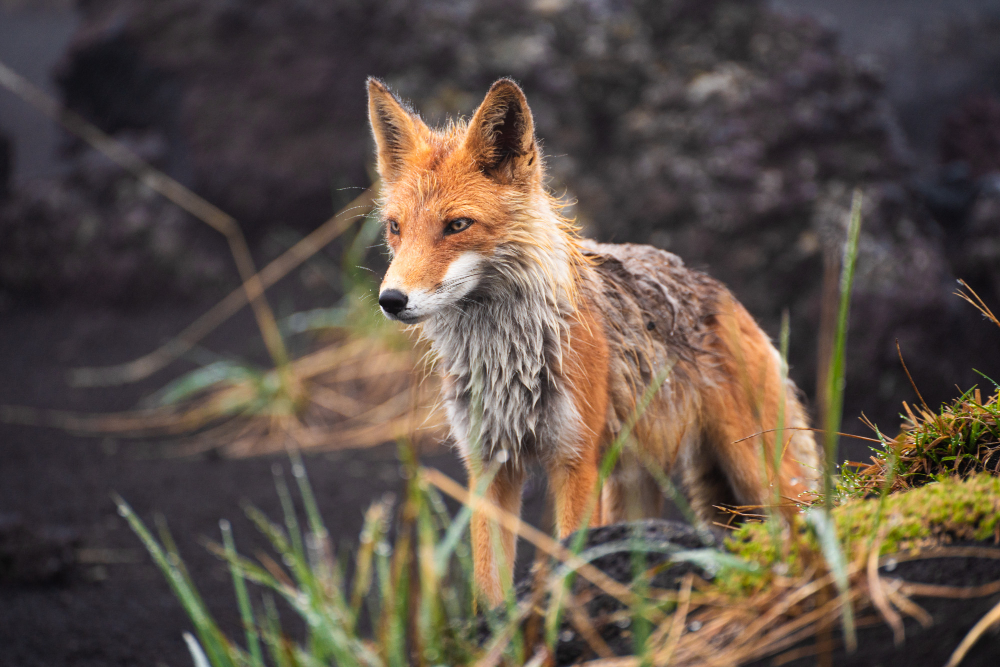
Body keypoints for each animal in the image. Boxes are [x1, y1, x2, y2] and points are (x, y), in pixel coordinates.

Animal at [367, 77, 821, 605]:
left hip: (761, 476)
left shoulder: (575, 460)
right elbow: (489, 587)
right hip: (634, 485)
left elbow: (568, 559)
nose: (391, 300)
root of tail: (725, 296)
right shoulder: (487, 466)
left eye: (457, 225)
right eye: (395, 228)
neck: (507, 360)